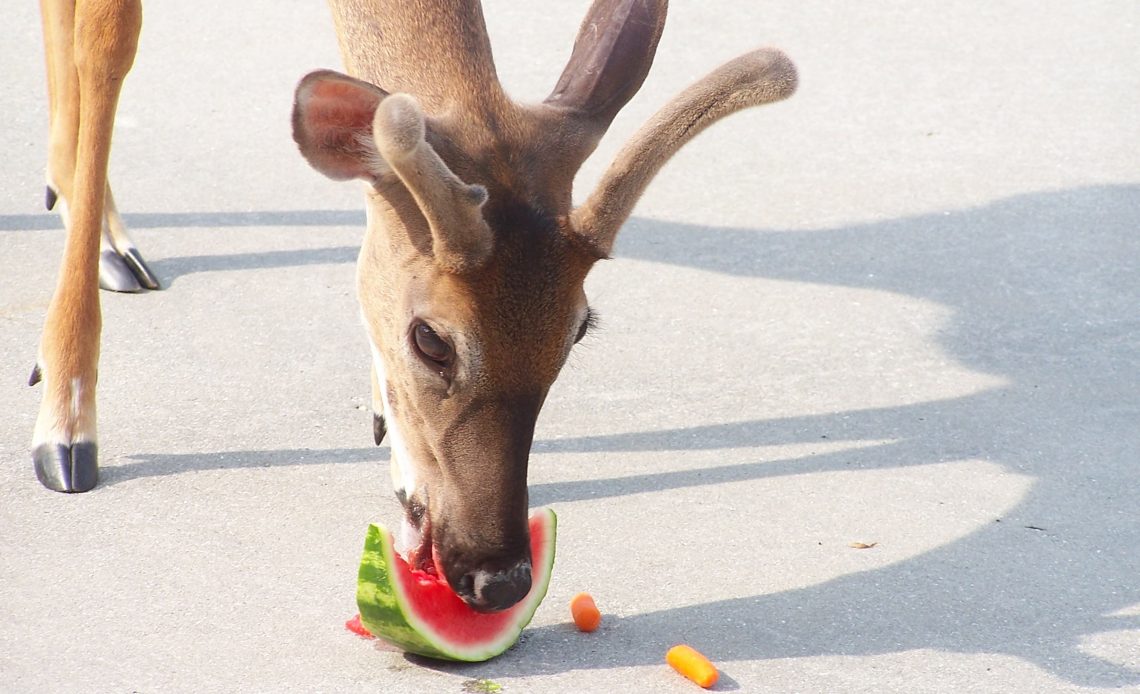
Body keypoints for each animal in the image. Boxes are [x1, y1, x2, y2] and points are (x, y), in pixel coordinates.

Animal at [31, 0, 798, 610]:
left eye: (579, 329)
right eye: (431, 339)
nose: (500, 577)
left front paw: (389, 436)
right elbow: (107, 40)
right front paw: (65, 422)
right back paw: (102, 239)